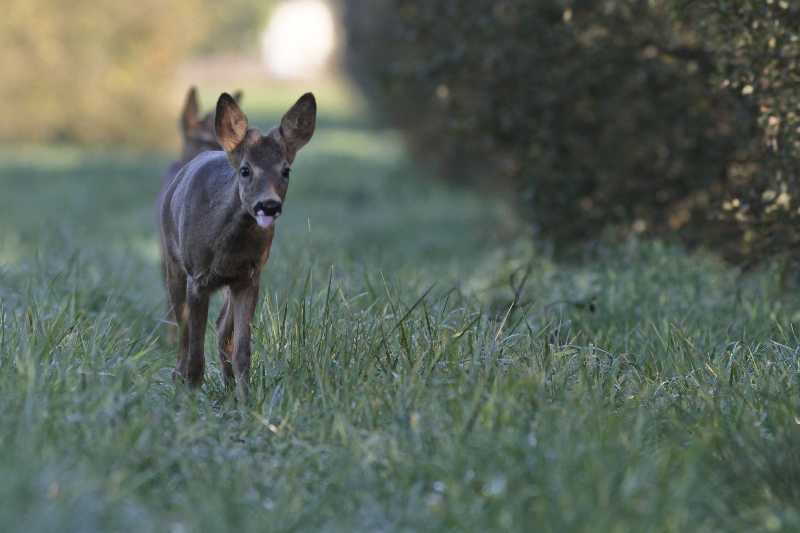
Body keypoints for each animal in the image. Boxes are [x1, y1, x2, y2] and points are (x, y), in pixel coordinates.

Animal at [158, 91, 318, 402]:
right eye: (245, 170)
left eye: (286, 170)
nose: (269, 205)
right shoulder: (198, 278)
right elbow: (195, 350)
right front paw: (191, 397)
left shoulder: (249, 277)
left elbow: (243, 349)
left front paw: (247, 401)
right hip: (174, 264)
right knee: (182, 328)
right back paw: (178, 377)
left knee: (222, 329)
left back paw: (229, 388)